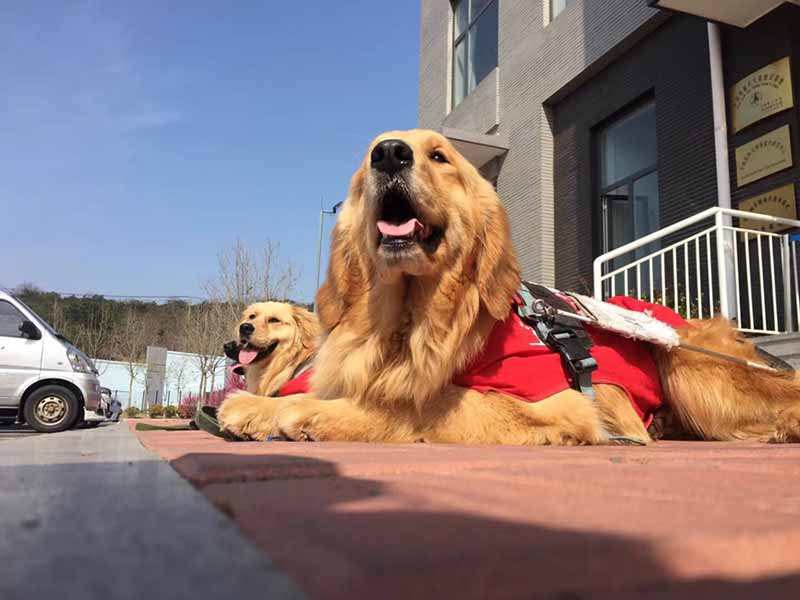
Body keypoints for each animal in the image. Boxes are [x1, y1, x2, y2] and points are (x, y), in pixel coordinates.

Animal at [217, 127, 800, 446]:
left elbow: (417, 402)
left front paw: (304, 413)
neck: (411, 321)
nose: (389, 154)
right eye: (368, 160)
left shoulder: (557, 404)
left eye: (440, 156)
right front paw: (259, 408)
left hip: (689, 365)